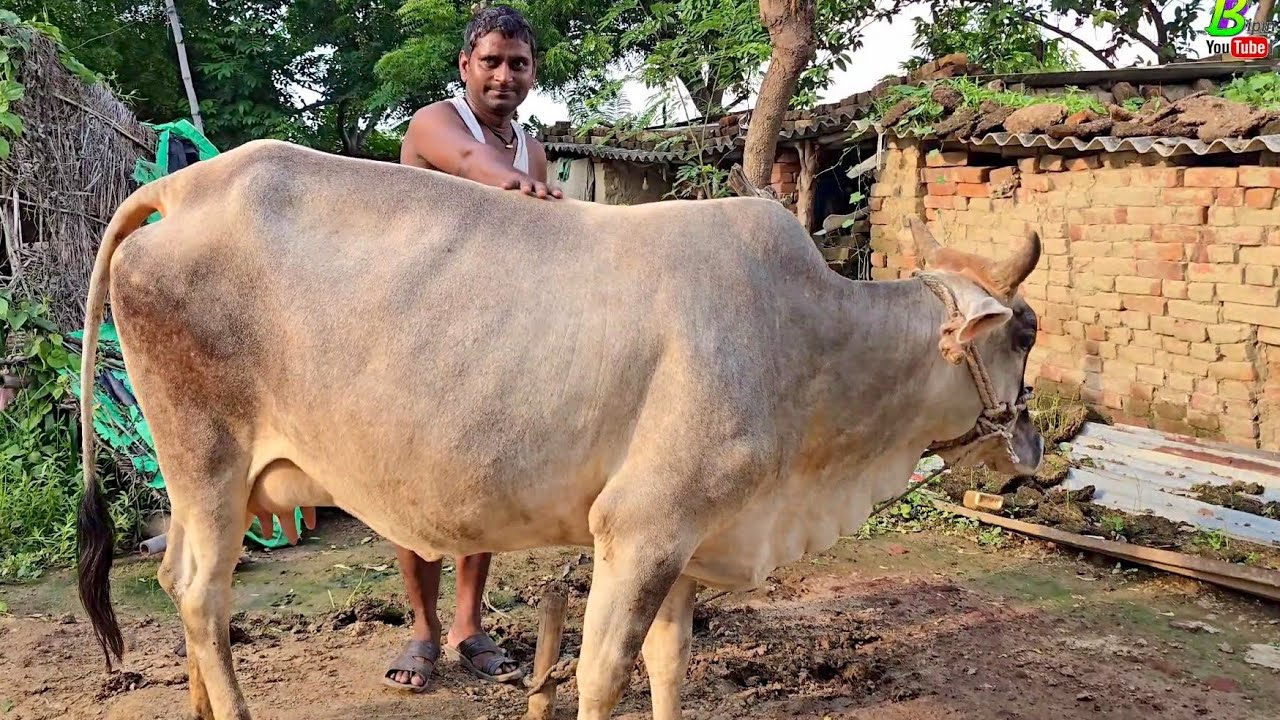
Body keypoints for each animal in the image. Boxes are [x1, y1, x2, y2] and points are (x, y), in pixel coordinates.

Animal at [75, 139, 1044, 720]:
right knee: (201, 594)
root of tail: (180, 185)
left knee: (176, 582)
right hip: (208, 460)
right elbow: (602, 674)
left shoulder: (687, 538)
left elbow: (671, 663)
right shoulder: (640, 527)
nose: (1034, 445)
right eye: (1026, 332)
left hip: (211, 483)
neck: (808, 339)